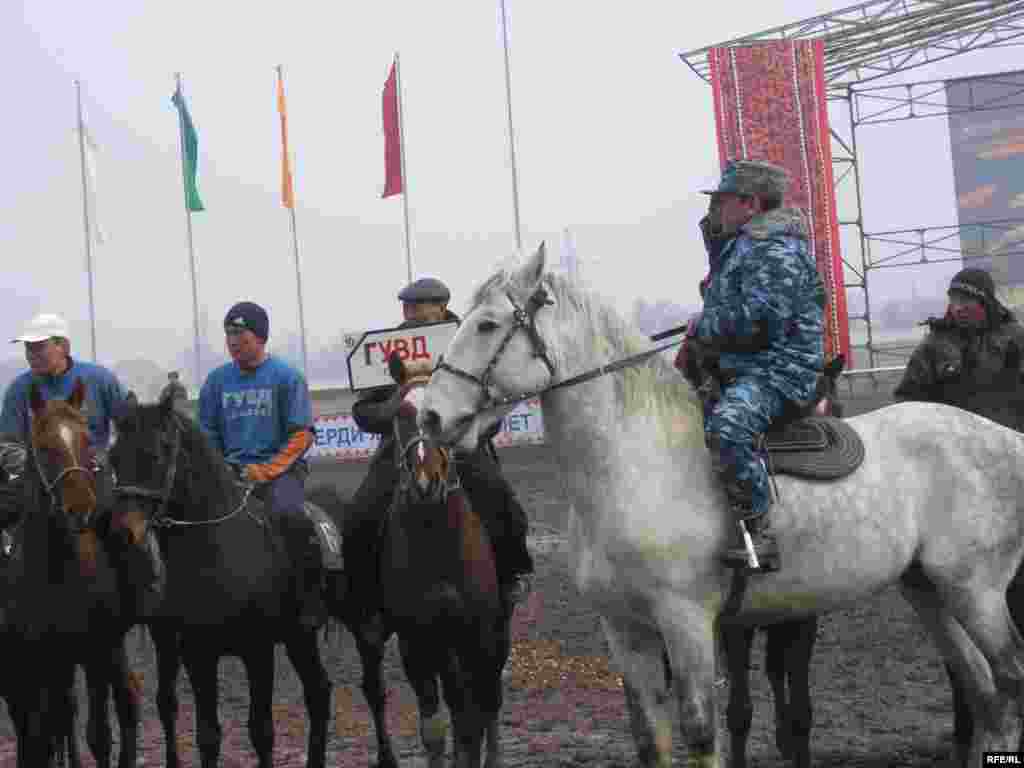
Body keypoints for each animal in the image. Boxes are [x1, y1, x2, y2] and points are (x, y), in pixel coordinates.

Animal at [423, 243, 1024, 768]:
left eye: (487, 324)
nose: (430, 415)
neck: (634, 463)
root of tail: (1003, 438)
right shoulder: (625, 631)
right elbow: (652, 739)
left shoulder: (687, 623)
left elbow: (700, 733)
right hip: (928, 591)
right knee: (982, 688)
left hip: (975, 590)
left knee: (1009, 677)